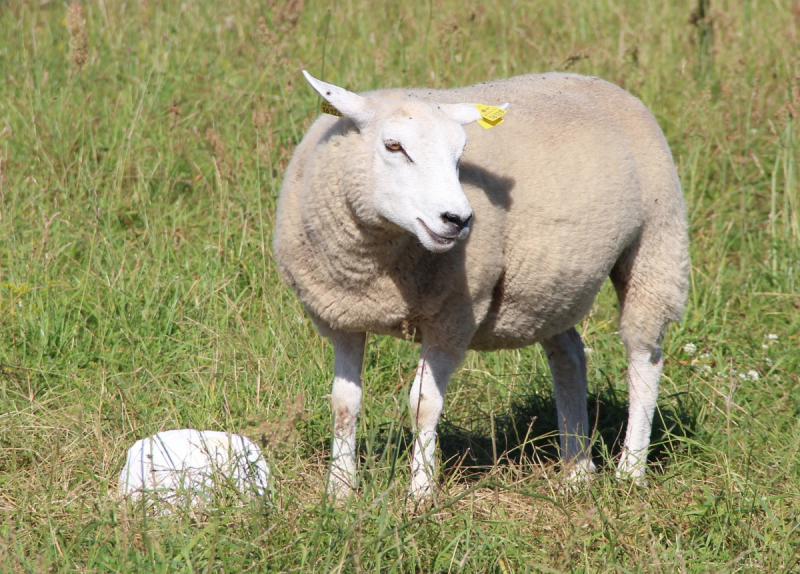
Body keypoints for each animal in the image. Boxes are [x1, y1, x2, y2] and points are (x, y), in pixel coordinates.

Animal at [274, 70, 688, 498]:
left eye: (460, 155)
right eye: (393, 146)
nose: (458, 219)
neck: (372, 267)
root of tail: (599, 82)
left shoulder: (453, 315)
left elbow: (423, 404)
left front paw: (420, 494)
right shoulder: (341, 316)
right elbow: (344, 402)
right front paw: (339, 490)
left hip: (657, 242)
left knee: (644, 358)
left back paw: (630, 470)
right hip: (549, 285)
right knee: (570, 357)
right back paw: (576, 469)